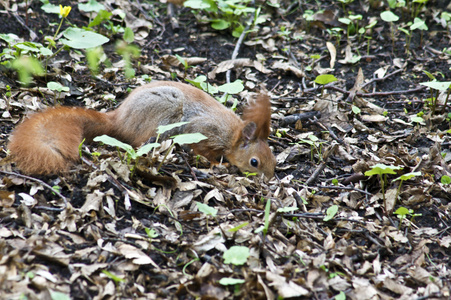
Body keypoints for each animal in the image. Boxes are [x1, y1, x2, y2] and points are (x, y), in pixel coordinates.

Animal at [7, 80, 278, 178]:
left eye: (274, 159)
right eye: (254, 162)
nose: (268, 179)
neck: (232, 136)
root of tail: (118, 119)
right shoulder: (203, 129)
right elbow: (201, 150)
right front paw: (215, 164)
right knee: (138, 142)